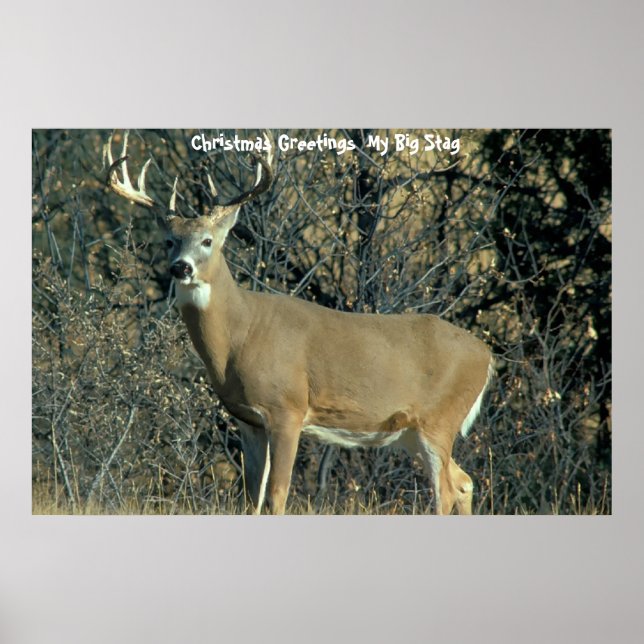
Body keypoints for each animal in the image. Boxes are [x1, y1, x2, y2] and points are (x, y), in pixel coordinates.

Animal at [104, 131, 494, 515]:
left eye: (207, 240)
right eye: (169, 241)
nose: (180, 267)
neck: (240, 335)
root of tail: (487, 355)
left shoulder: (287, 408)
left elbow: (277, 494)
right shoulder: (247, 420)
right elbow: (251, 498)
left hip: (438, 420)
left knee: (445, 490)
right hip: (410, 430)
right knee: (464, 481)